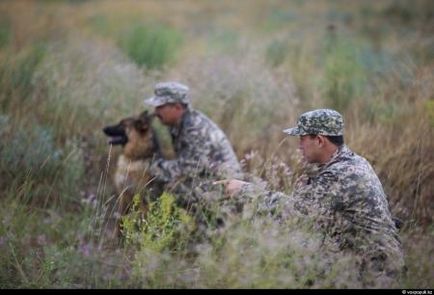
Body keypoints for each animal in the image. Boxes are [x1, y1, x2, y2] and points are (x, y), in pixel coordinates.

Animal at [102, 110, 162, 238]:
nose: (104, 128)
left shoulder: (142, 200)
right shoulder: (124, 195)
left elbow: (143, 221)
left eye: (122, 125)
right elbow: (120, 219)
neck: (134, 158)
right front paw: (116, 237)